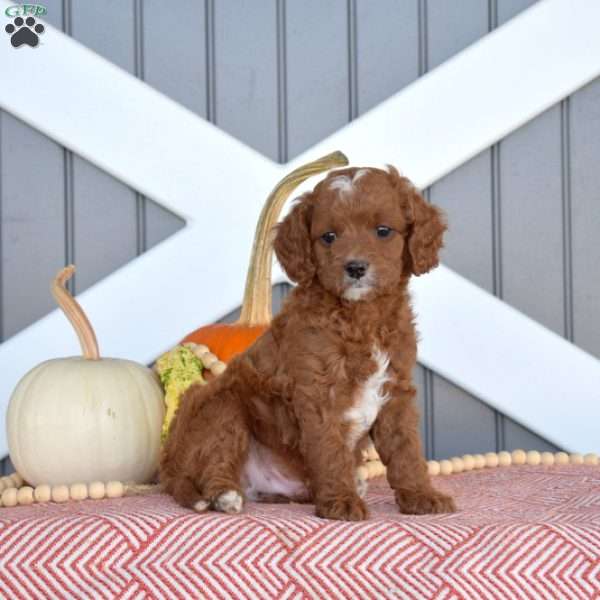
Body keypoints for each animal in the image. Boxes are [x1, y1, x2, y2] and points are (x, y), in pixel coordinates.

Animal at [159, 165, 454, 520]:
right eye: (329, 237)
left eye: (383, 231)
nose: (355, 267)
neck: (361, 317)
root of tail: (170, 466)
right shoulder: (319, 392)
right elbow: (329, 449)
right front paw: (341, 502)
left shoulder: (396, 389)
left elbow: (406, 449)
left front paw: (421, 495)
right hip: (221, 406)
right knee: (212, 464)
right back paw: (222, 496)